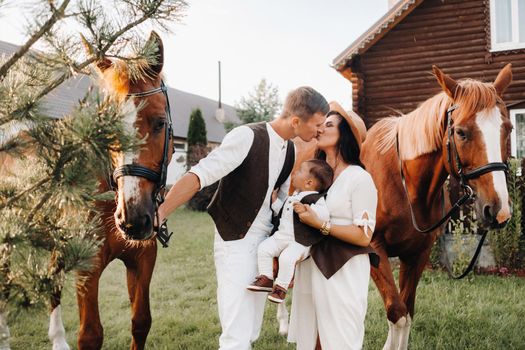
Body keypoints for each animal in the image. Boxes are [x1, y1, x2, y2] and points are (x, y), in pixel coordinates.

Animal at [47, 32, 173, 350]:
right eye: (106, 127)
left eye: (160, 122)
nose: (133, 219)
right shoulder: (87, 268)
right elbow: (91, 334)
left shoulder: (142, 259)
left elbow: (141, 322)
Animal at [360, 63, 512, 350]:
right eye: (461, 132)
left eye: (508, 129)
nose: (498, 210)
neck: (403, 186)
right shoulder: (374, 248)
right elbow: (397, 313)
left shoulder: (417, 253)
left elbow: (406, 313)